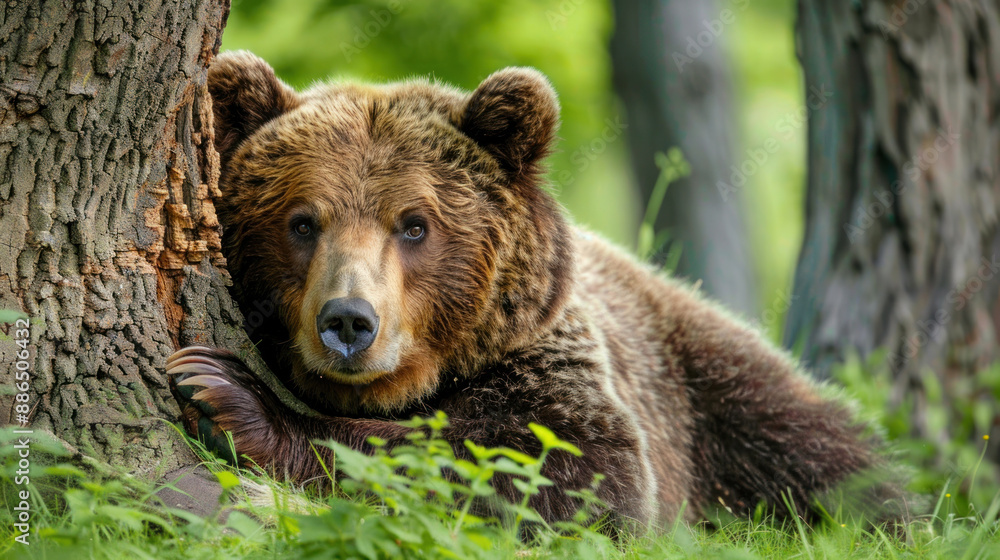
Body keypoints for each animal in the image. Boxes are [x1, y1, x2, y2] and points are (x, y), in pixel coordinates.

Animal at [166, 50, 907, 528]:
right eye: (301, 221)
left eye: (414, 224)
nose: (349, 320)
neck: (408, 384)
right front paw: (215, 386)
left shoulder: (540, 358)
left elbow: (564, 468)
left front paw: (228, 394)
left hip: (706, 380)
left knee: (823, 451)